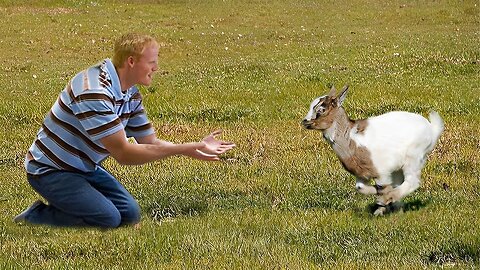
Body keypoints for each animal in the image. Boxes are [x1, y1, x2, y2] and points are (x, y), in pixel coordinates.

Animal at [302, 85, 444, 216]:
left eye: (322, 109)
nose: (304, 121)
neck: (352, 139)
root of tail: (432, 128)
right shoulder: (362, 174)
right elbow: (360, 187)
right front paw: (380, 206)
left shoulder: (382, 172)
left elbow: (383, 187)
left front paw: (381, 204)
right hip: (400, 167)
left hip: (413, 158)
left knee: (412, 182)